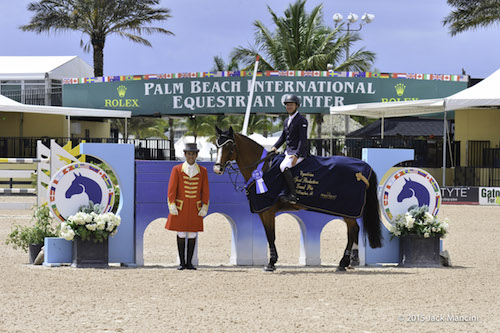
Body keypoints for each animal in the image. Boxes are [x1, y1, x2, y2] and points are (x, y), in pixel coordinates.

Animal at [212, 126, 382, 272]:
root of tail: (365, 168)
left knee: (352, 231)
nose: (217, 169)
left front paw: (271, 263)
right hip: (347, 212)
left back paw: (343, 263)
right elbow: (269, 235)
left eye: (230, 146)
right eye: (217, 145)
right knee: (353, 231)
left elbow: (270, 235)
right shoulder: (265, 212)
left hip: (348, 210)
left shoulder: (267, 211)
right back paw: (349, 261)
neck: (262, 169)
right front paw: (272, 262)